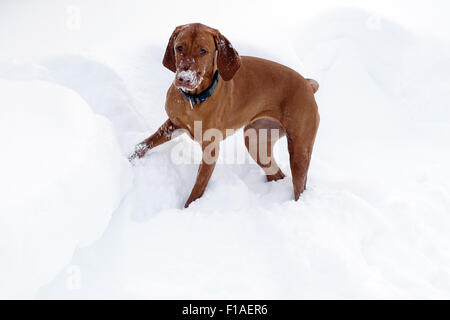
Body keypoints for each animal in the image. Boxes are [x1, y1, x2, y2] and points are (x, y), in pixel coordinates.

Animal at [130, 22, 320, 208]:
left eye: (203, 51)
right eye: (179, 48)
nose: (184, 79)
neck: (194, 100)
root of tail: (307, 85)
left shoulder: (210, 149)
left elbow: (198, 187)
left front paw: (188, 208)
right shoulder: (173, 124)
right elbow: (144, 144)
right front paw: (129, 159)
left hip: (299, 151)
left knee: (299, 185)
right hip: (256, 141)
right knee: (276, 174)